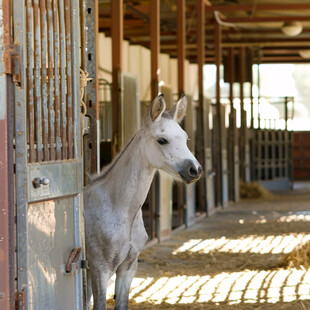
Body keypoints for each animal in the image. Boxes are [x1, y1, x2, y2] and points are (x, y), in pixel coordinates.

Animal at [83, 94, 202, 310]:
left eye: (185, 139)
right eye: (162, 140)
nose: (195, 170)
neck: (119, 209)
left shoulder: (128, 267)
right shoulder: (100, 269)